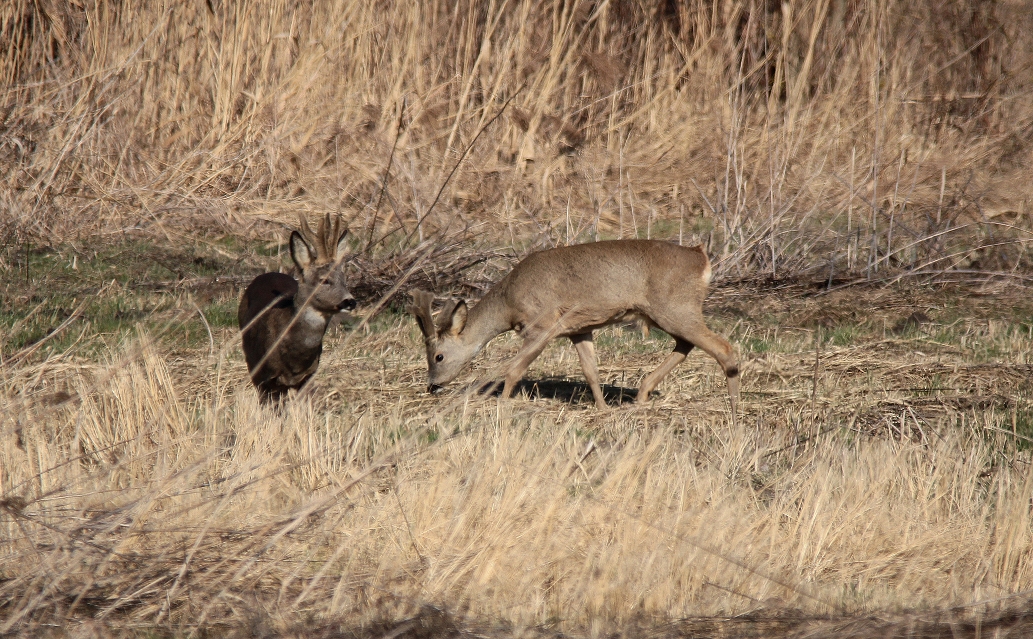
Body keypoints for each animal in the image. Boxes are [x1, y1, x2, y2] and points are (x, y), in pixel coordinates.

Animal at [407, 239, 739, 419]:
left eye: (437, 356)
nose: (432, 385)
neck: (509, 303)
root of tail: (700, 258)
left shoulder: (542, 323)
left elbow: (513, 368)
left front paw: (501, 403)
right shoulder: (579, 329)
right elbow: (590, 370)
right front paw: (602, 409)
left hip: (674, 308)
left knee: (724, 348)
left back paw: (734, 409)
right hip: (666, 313)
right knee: (687, 345)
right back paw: (642, 394)